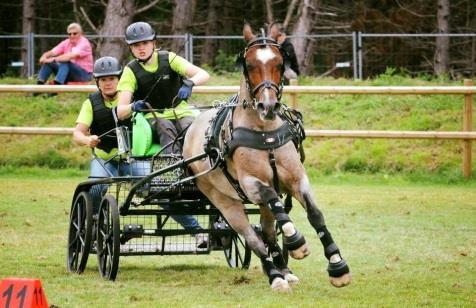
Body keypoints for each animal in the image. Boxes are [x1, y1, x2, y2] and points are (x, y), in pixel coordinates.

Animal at [184, 24, 352, 292]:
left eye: (279, 62)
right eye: (249, 64)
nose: (268, 106)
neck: (264, 133)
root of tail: (191, 128)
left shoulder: (297, 180)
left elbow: (315, 215)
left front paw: (337, 266)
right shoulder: (254, 184)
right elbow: (275, 205)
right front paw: (296, 242)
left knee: (268, 231)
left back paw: (284, 270)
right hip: (224, 201)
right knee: (252, 237)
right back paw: (275, 275)